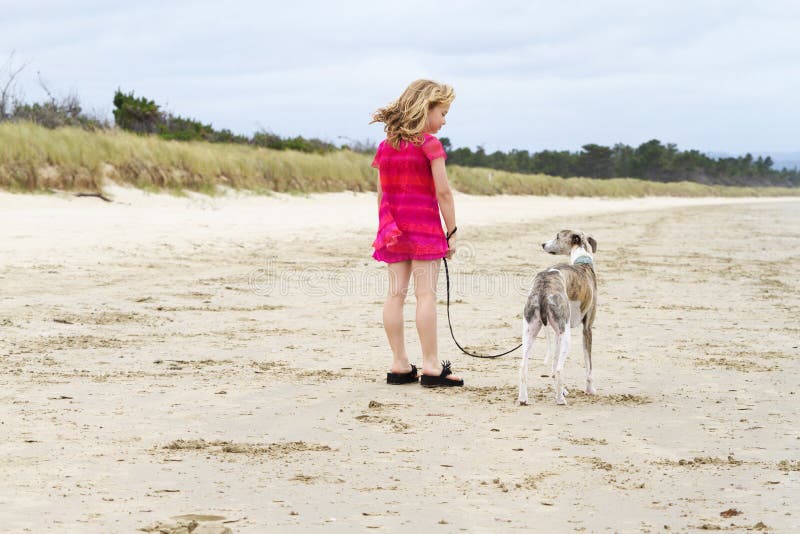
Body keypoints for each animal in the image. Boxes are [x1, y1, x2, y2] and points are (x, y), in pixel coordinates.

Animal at [516, 230, 596, 406]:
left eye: (558, 237)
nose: (543, 244)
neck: (582, 262)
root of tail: (543, 288)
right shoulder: (587, 329)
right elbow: (588, 364)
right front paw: (590, 390)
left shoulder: (557, 333)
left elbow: (554, 361)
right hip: (565, 335)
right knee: (559, 369)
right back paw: (560, 399)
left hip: (532, 330)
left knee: (524, 366)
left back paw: (524, 399)